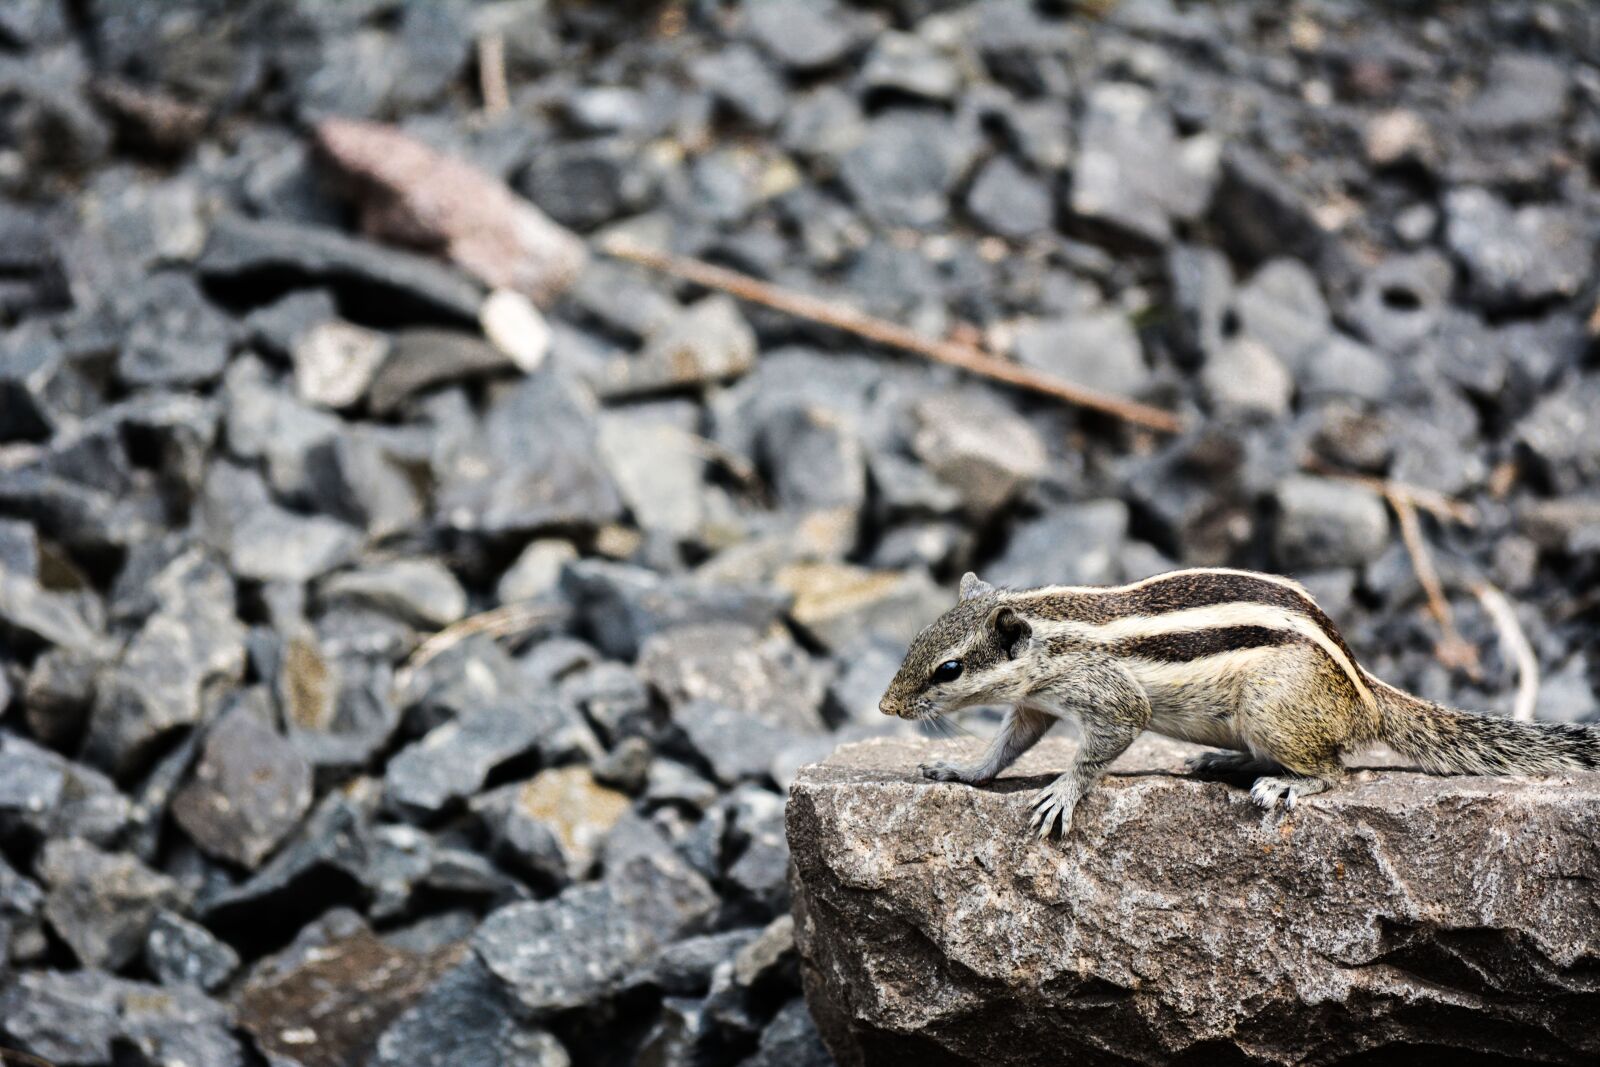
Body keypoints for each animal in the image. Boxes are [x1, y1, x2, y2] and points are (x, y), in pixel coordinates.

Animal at [878, 568, 1600, 839]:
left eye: (948, 668)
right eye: (915, 641)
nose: (886, 706)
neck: (1054, 628)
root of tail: (1364, 693)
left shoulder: (1109, 697)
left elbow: (1108, 739)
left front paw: (1062, 791)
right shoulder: (1033, 706)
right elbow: (1006, 745)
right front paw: (960, 770)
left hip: (1274, 711)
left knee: (1338, 769)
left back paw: (1287, 786)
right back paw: (1218, 764)